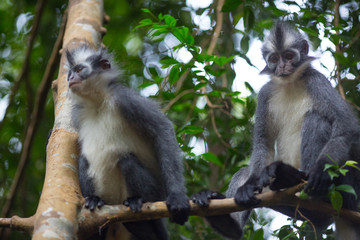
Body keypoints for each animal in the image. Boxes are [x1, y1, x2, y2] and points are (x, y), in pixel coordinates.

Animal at [66, 44, 193, 239]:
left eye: (79, 70)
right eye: (70, 73)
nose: (71, 78)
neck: (98, 102)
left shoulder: (125, 98)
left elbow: (162, 130)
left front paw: (177, 196)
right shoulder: (77, 113)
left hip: (155, 192)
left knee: (127, 160)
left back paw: (137, 203)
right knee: (84, 159)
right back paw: (95, 202)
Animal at [193, 21, 360, 239]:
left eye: (289, 56)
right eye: (274, 59)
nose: (282, 66)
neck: (290, 84)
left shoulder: (317, 81)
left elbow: (347, 124)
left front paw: (320, 171)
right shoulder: (265, 94)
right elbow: (263, 143)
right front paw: (248, 186)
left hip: (347, 189)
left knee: (317, 118)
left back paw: (300, 181)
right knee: (251, 173)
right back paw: (228, 222)